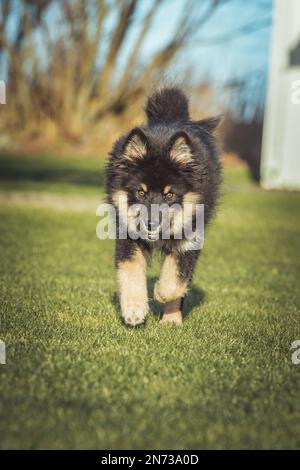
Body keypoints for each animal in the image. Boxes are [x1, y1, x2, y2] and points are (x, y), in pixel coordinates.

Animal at [105, 86, 220, 324]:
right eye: (140, 192)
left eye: (169, 195)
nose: (150, 224)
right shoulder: (127, 235)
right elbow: (130, 270)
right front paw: (134, 310)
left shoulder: (191, 238)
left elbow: (178, 276)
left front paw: (161, 293)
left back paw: (171, 320)